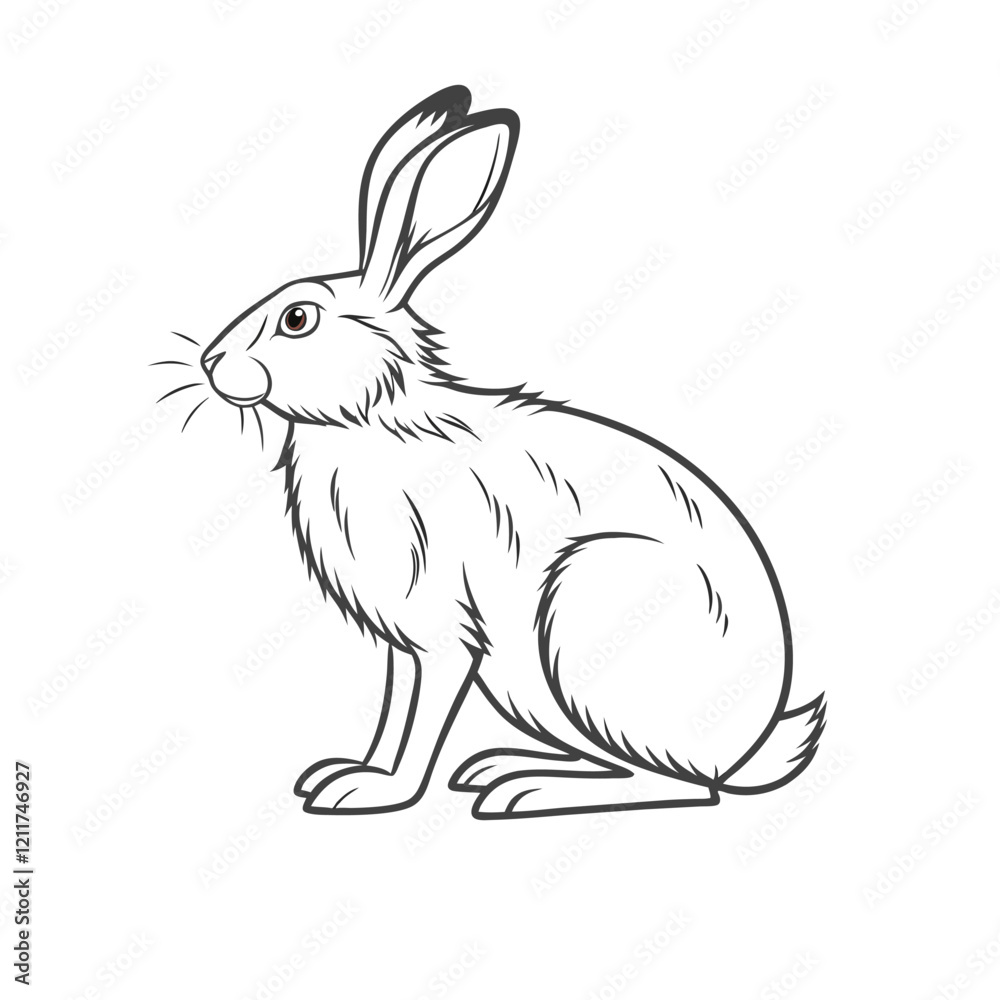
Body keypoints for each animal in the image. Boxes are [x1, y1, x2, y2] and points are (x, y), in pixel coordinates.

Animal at [194, 85, 825, 819]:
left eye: (297, 319)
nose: (211, 363)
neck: (372, 417)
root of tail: (748, 749)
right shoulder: (402, 641)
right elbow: (394, 707)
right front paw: (348, 774)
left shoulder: (445, 627)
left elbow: (422, 719)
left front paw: (376, 792)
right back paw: (500, 768)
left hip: (582, 614)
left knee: (681, 785)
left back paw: (526, 792)